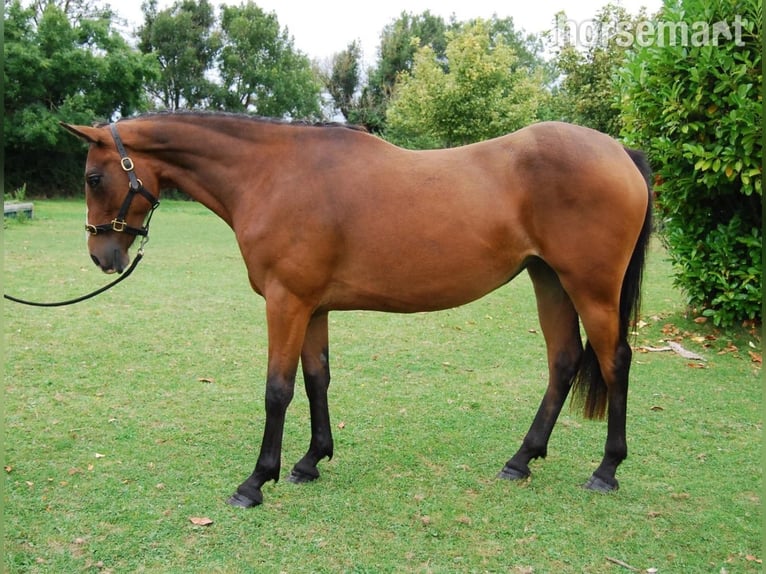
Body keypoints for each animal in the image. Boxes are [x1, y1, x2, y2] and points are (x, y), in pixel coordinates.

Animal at [62, 112, 652, 507]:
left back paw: (606, 469)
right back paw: (521, 460)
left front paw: (256, 481)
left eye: (94, 178)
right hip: (549, 281)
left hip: (590, 289)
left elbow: (278, 390)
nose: (101, 255)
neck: (274, 173)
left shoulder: (286, 302)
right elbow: (317, 379)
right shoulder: (313, 307)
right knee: (563, 361)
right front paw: (310, 461)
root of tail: (620, 152)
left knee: (614, 362)